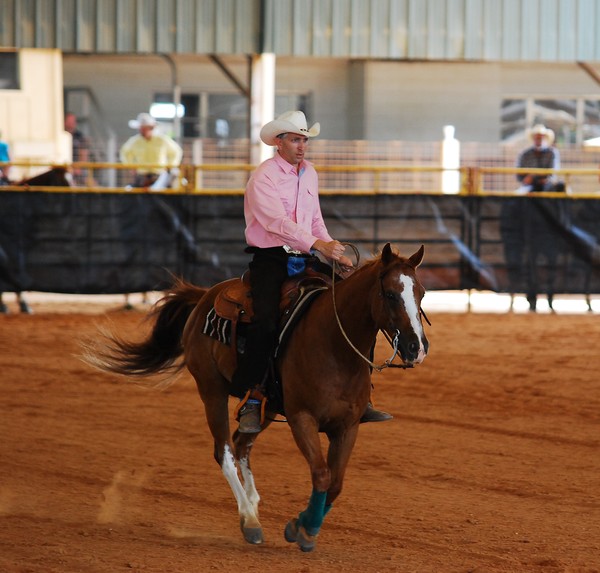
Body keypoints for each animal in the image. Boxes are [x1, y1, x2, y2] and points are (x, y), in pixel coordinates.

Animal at [85, 241, 432, 548]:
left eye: (421, 293)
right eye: (390, 294)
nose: (416, 348)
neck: (333, 345)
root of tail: (205, 295)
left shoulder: (347, 427)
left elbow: (334, 484)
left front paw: (304, 523)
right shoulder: (301, 419)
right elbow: (321, 474)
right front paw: (302, 529)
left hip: (266, 407)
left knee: (242, 442)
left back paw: (252, 502)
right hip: (211, 390)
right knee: (224, 450)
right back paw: (250, 521)